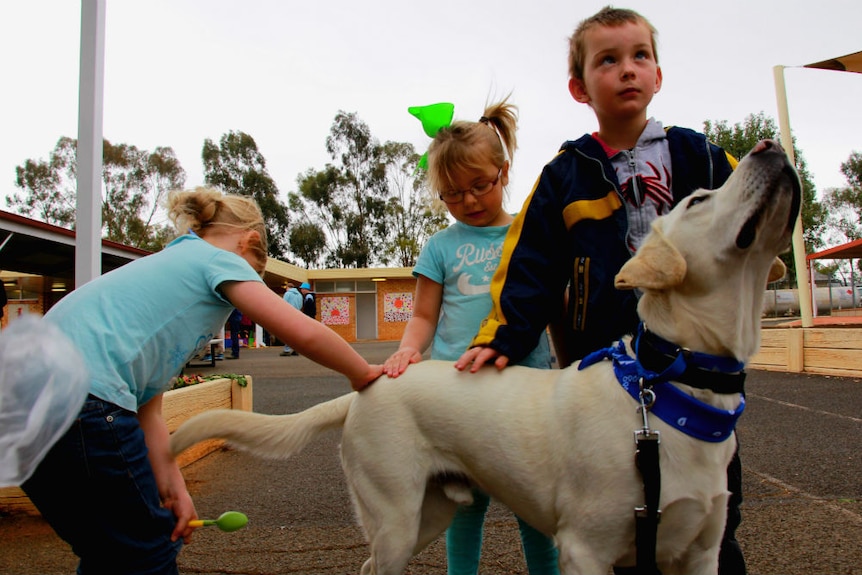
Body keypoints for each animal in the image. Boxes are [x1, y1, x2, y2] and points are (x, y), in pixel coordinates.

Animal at [174, 141, 804, 575]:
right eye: (700, 199)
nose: (769, 146)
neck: (665, 388)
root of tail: (371, 383)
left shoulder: (699, 551)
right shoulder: (587, 549)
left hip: (430, 514)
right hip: (396, 513)